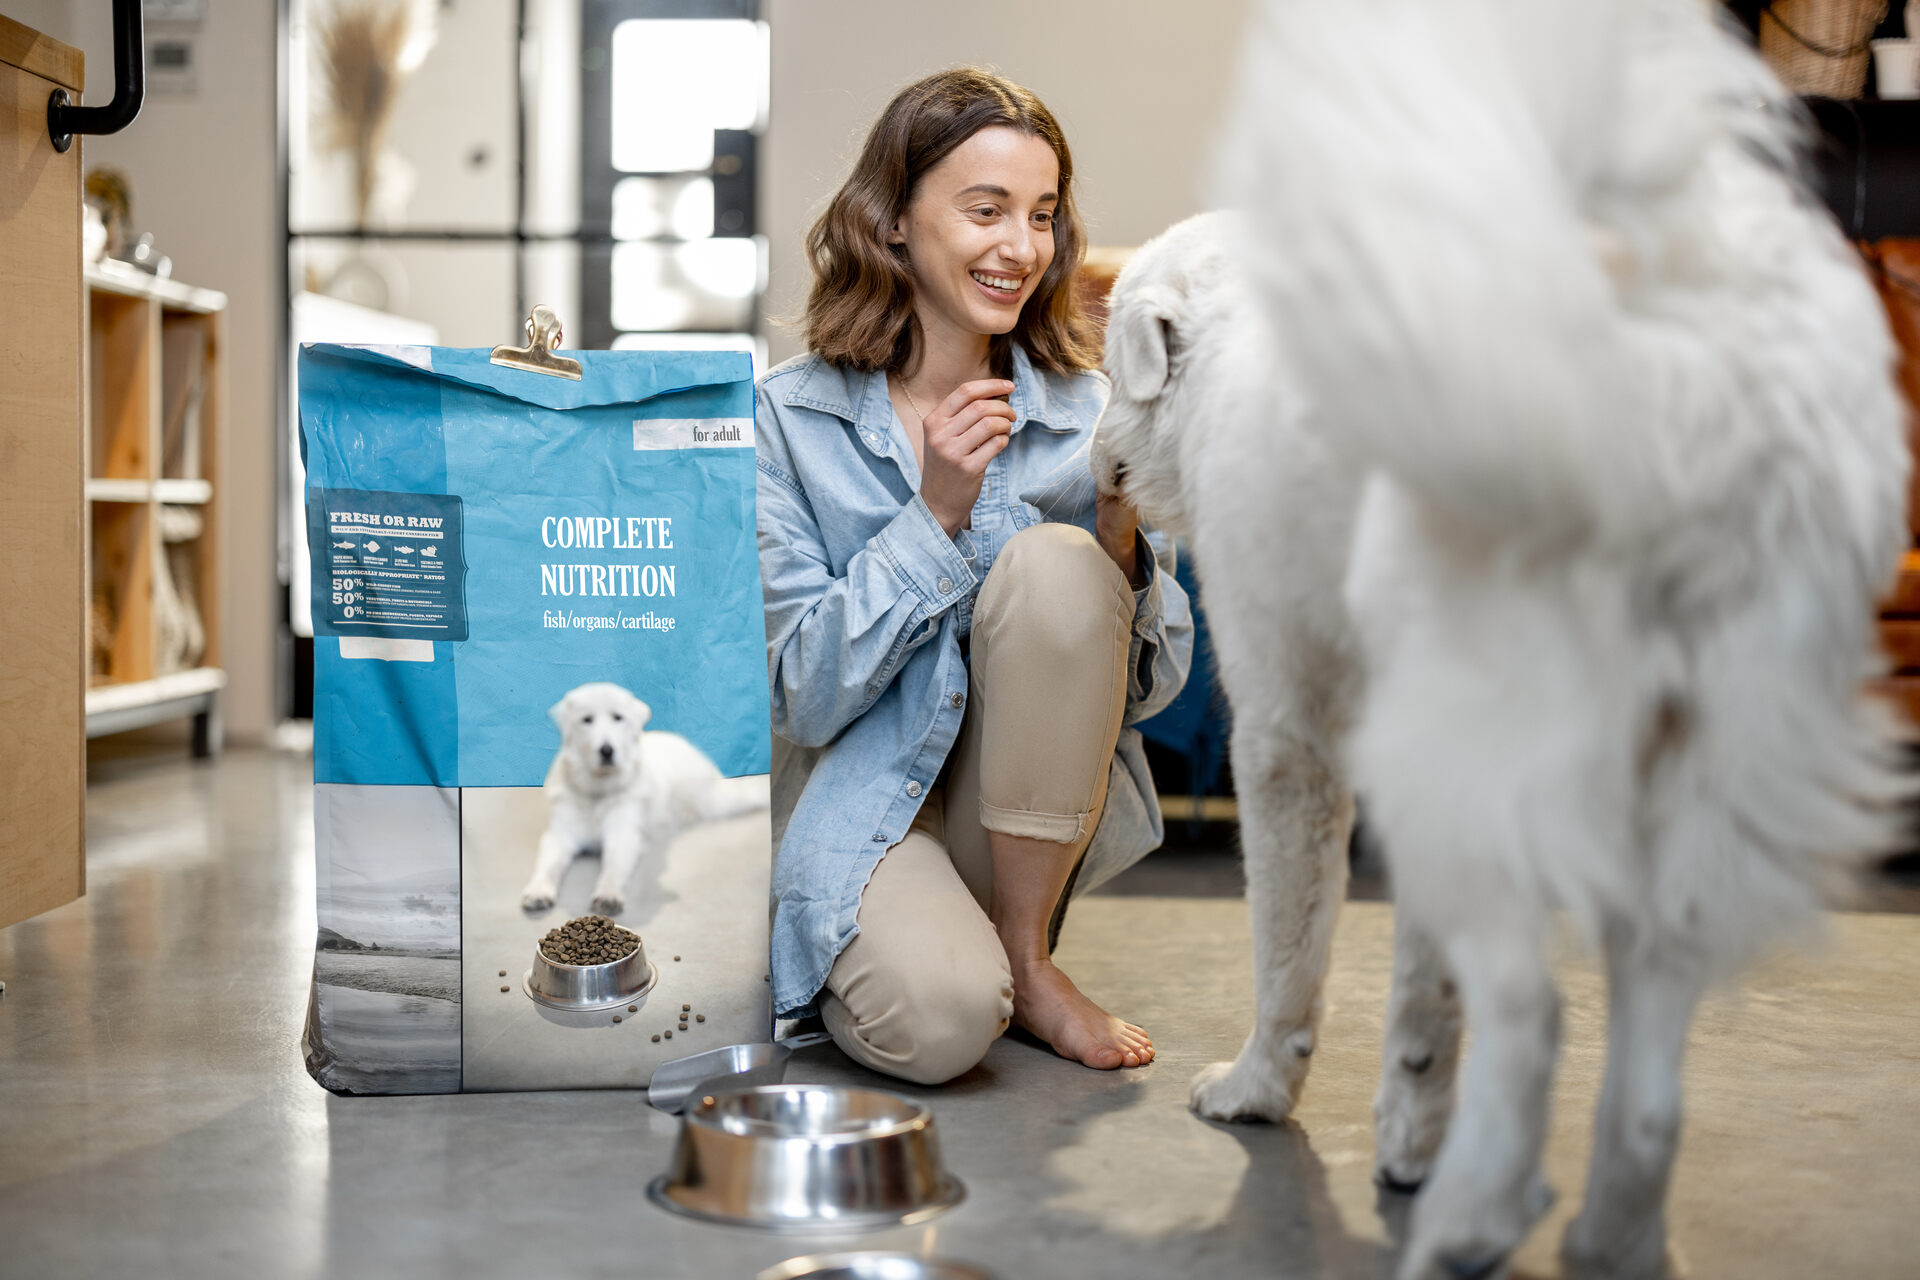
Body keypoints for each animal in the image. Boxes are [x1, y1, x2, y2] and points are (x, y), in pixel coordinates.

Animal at [526, 679, 771, 921]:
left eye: (618, 717)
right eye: (586, 720)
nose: (606, 750)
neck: (598, 792)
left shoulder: (623, 835)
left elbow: (613, 867)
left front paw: (608, 895)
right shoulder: (560, 835)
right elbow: (549, 865)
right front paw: (538, 892)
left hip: (708, 799)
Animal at [1098, 5, 1904, 1274]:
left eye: (1104, 362)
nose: (1090, 451)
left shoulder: (1290, 740)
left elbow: (1291, 949)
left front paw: (1259, 1090)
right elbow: (1423, 986)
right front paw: (1407, 1134)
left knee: (1535, 1009)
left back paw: (1472, 1223)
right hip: (1674, 778)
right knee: (1645, 1079)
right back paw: (1610, 1237)